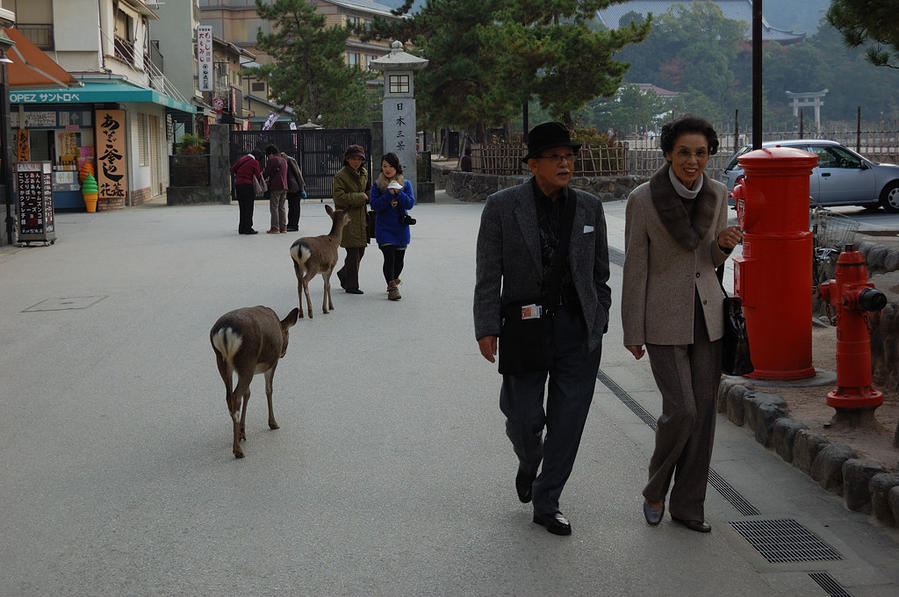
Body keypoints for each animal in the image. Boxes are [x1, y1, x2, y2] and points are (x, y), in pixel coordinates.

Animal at [209, 304, 300, 458]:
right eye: (288, 333)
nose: (284, 353)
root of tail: (226, 331)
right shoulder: (272, 363)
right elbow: (269, 390)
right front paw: (273, 423)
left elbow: (248, 393)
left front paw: (242, 431)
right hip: (247, 360)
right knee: (236, 396)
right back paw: (238, 450)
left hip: (222, 361)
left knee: (229, 396)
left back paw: (237, 440)